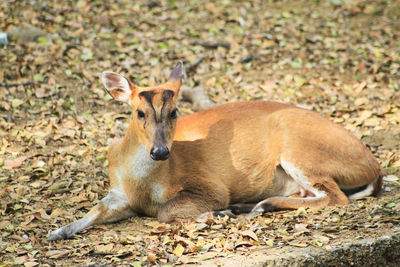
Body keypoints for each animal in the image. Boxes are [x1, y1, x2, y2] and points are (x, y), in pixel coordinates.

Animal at [48, 62, 382, 241]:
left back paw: (253, 206)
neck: (141, 181)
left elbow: (165, 212)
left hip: (302, 151)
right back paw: (249, 206)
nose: (160, 152)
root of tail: (375, 168)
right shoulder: (118, 193)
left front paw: (216, 212)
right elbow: (94, 211)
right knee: (313, 194)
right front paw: (56, 232)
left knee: (335, 197)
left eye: (174, 111)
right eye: (139, 112)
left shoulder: (208, 184)